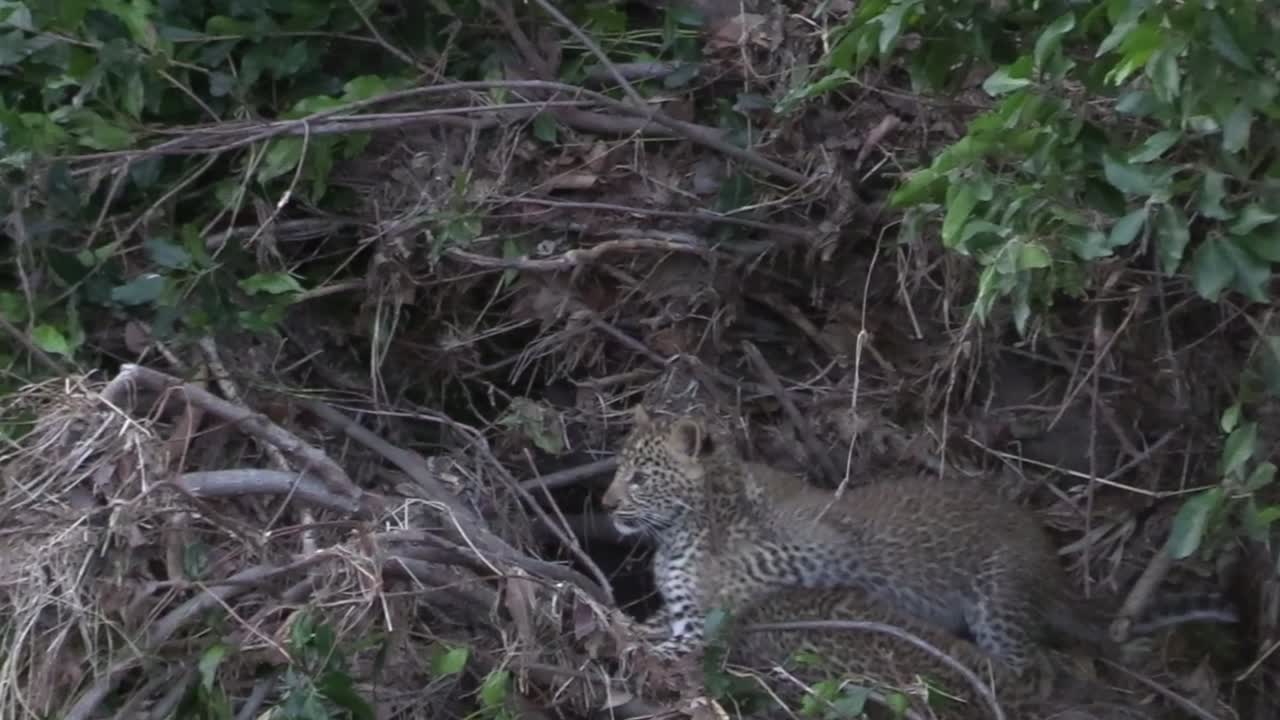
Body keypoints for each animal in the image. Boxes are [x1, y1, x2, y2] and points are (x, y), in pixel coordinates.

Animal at [601, 406, 1238, 678]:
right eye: (619, 470)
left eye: (641, 476)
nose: (605, 504)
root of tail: (1051, 562)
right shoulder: (677, 611)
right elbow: (653, 624)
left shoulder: (824, 548)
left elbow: (743, 584)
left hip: (999, 600)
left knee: (1026, 666)